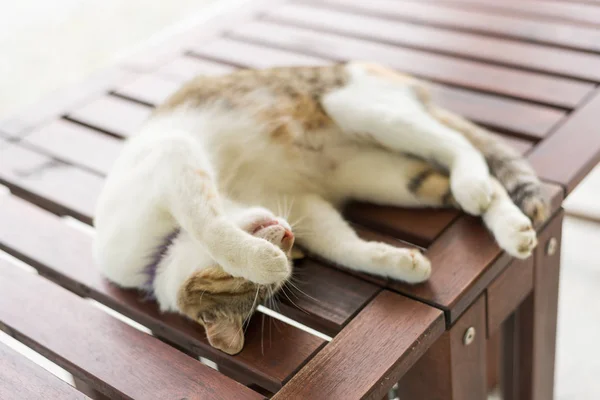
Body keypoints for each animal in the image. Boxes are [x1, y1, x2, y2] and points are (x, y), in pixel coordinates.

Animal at [94, 61, 548, 354]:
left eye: (250, 283)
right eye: (260, 294)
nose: (287, 236)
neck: (156, 256)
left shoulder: (175, 158)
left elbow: (208, 224)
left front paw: (260, 259)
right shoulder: (301, 203)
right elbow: (344, 246)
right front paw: (402, 264)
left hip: (357, 108)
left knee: (462, 146)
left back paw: (473, 185)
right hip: (388, 176)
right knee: (470, 178)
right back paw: (513, 230)